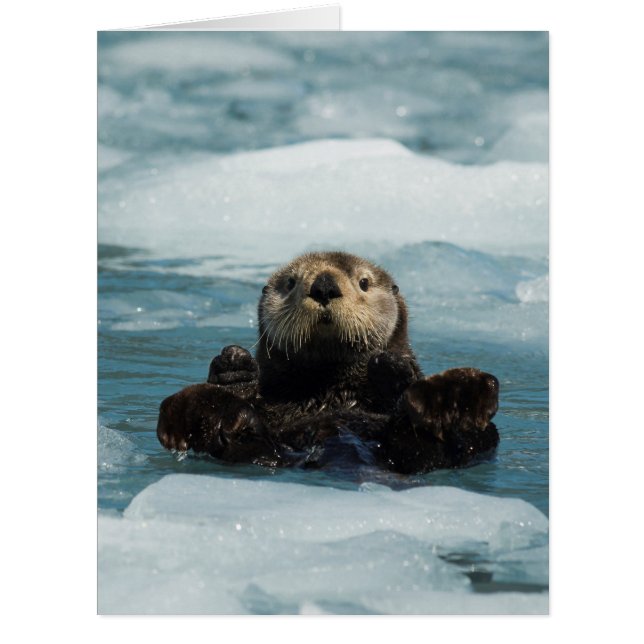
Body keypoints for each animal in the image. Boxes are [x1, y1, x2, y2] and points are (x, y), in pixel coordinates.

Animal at [157, 251, 499, 473]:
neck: (330, 393)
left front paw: (390, 367)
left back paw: (451, 399)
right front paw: (234, 368)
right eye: (291, 282)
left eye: (364, 282)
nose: (323, 285)